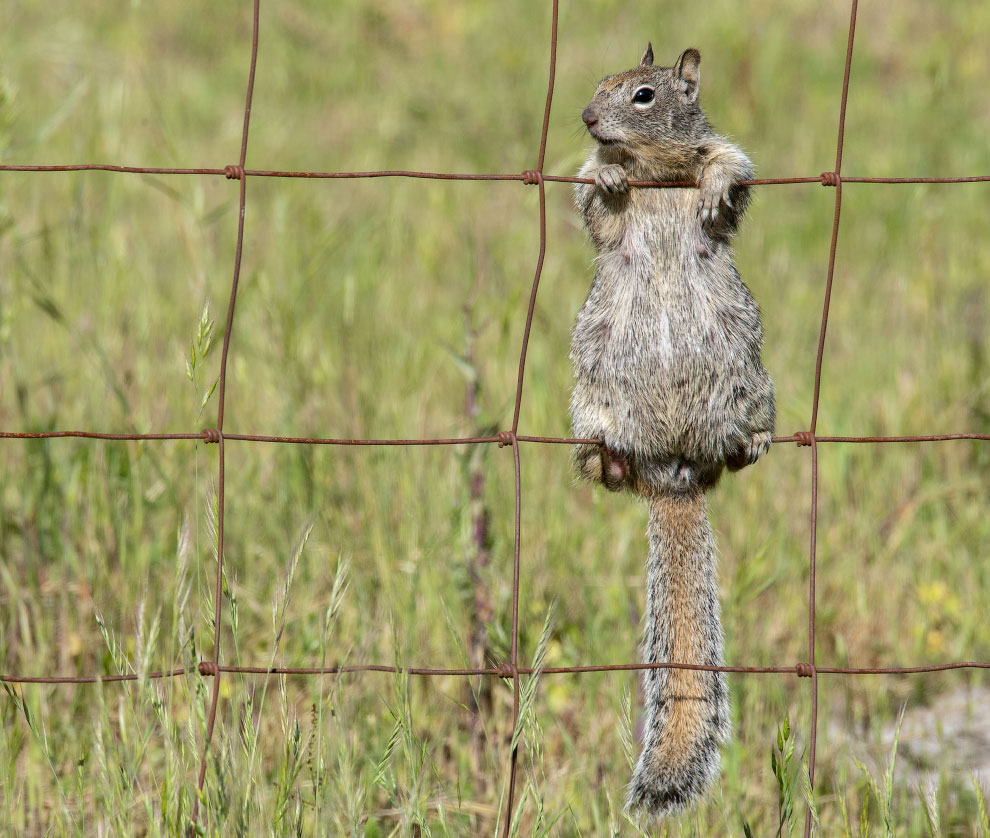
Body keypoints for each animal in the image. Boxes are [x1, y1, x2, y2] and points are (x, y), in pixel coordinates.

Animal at [572, 44, 776, 820]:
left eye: (644, 94)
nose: (586, 117)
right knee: (604, 459)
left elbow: (729, 169)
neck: (655, 175)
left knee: (743, 439)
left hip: (749, 375)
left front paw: (715, 181)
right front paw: (603, 170)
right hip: (592, 391)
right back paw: (601, 459)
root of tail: (674, 471)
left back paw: (750, 442)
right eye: (600, 84)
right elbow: (596, 209)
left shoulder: (721, 161)